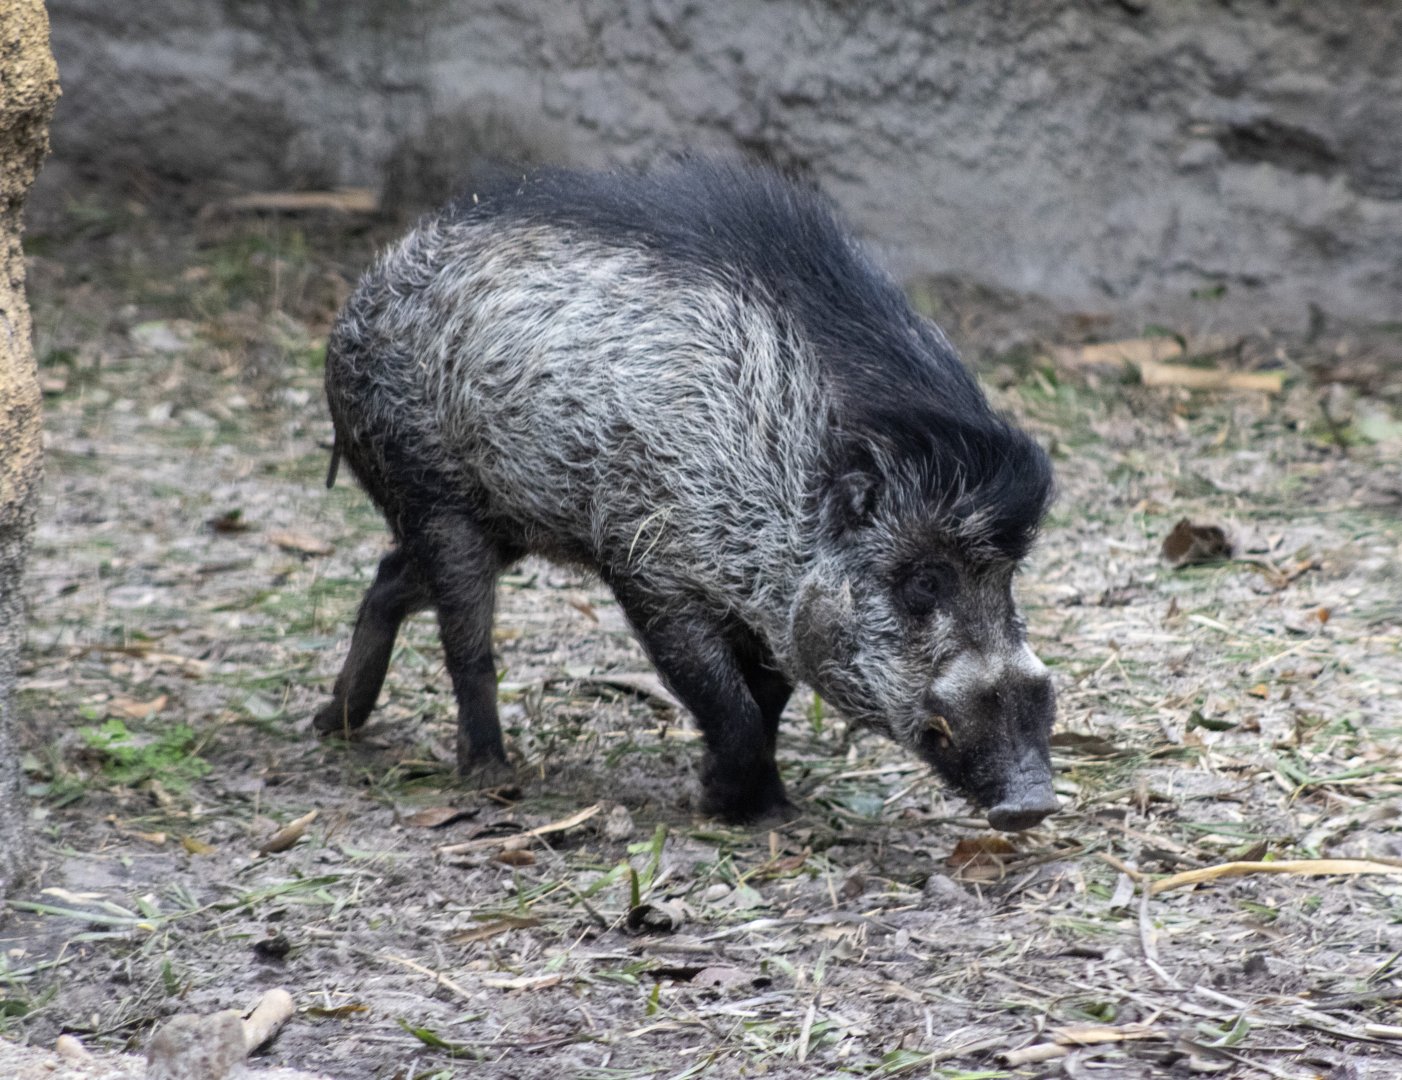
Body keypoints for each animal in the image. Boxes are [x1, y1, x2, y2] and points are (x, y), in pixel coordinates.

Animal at [316, 159, 1058, 829]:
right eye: (924, 582)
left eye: (1008, 575)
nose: (1033, 805)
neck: (785, 470)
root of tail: (361, 297)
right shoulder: (652, 567)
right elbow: (725, 701)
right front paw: (743, 811)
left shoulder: (769, 606)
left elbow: (769, 695)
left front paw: (767, 806)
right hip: (436, 495)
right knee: (466, 640)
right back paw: (490, 776)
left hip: (502, 522)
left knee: (388, 579)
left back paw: (334, 723)